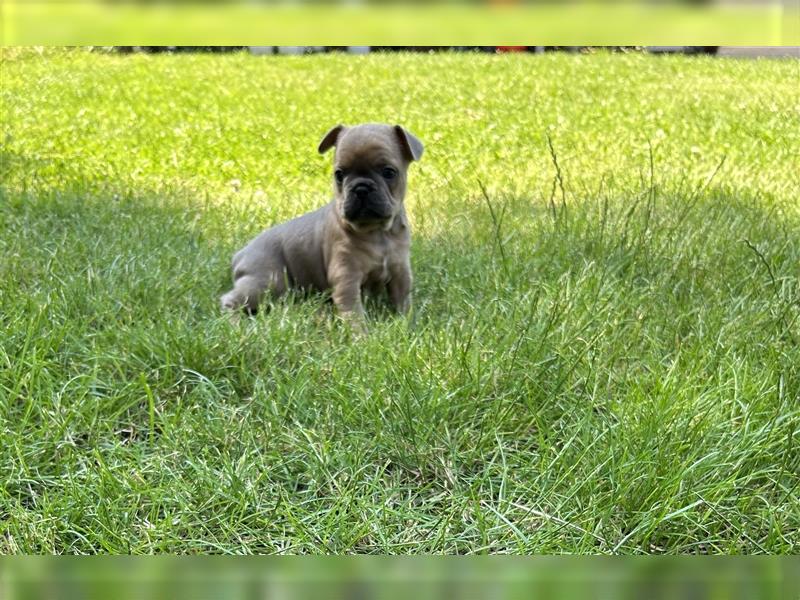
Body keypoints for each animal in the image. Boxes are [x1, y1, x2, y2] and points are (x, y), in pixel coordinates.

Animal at [216, 121, 422, 328]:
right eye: (339, 175)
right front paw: (361, 334)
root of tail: (240, 254)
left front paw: (406, 324)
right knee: (231, 300)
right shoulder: (346, 278)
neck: (377, 231)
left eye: (389, 172)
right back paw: (235, 323)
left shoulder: (400, 272)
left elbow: (403, 302)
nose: (361, 188)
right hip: (267, 280)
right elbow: (354, 314)